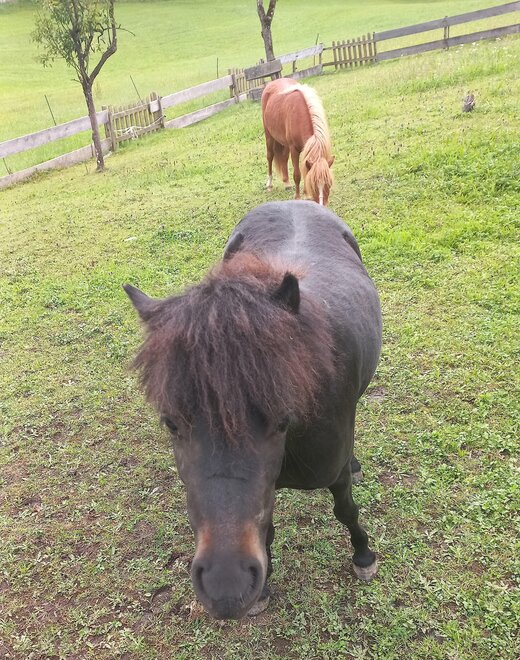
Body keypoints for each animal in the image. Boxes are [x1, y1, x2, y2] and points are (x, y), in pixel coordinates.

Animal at [124, 200, 381, 620]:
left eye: (281, 421)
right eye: (171, 423)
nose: (225, 587)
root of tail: (293, 201)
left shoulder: (333, 471)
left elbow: (346, 509)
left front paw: (363, 556)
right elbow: (266, 528)